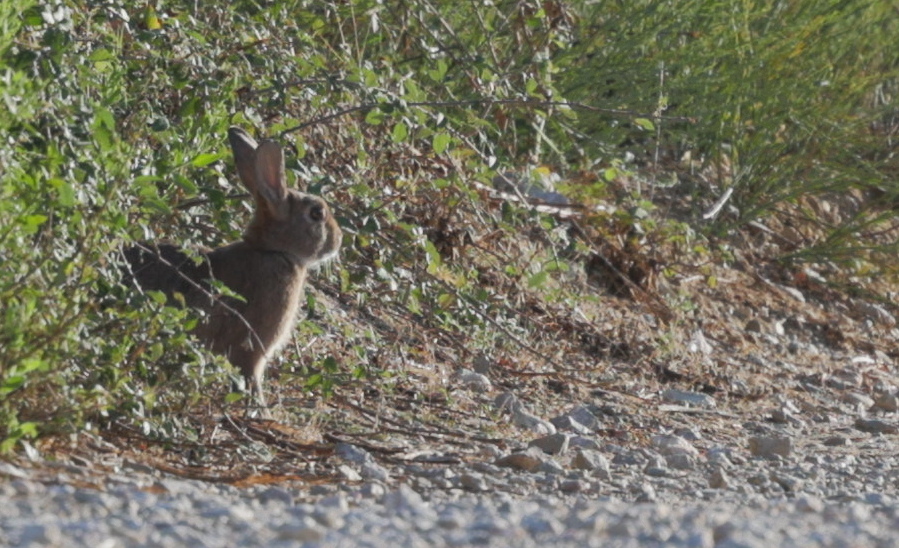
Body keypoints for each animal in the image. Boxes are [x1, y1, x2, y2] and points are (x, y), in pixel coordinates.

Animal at [123, 127, 342, 410]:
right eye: (316, 213)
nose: (339, 240)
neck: (271, 251)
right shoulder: (249, 351)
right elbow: (249, 380)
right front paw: (261, 410)